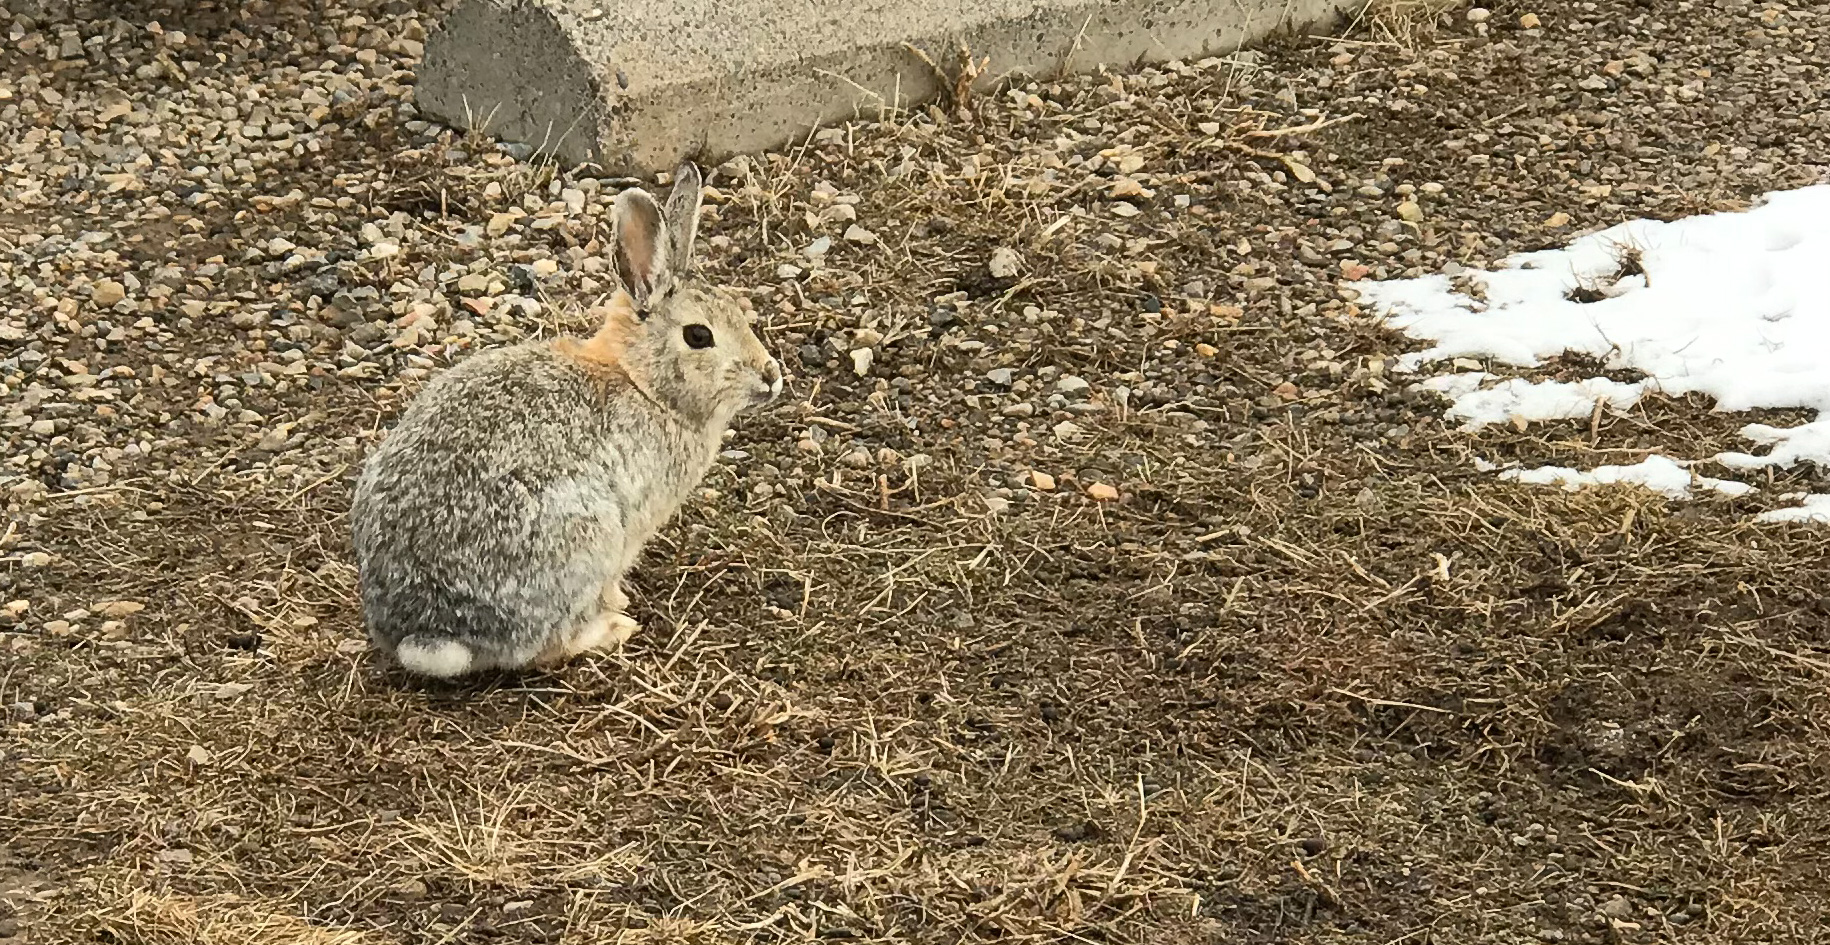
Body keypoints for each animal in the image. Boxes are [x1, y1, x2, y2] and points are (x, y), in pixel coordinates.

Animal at [349, 162, 783, 678]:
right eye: (699, 336)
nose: (771, 377)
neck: (641, 381)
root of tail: (432, 633)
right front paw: (620, 605)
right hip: (587, 536)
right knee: (546, 645)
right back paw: (611, 630)